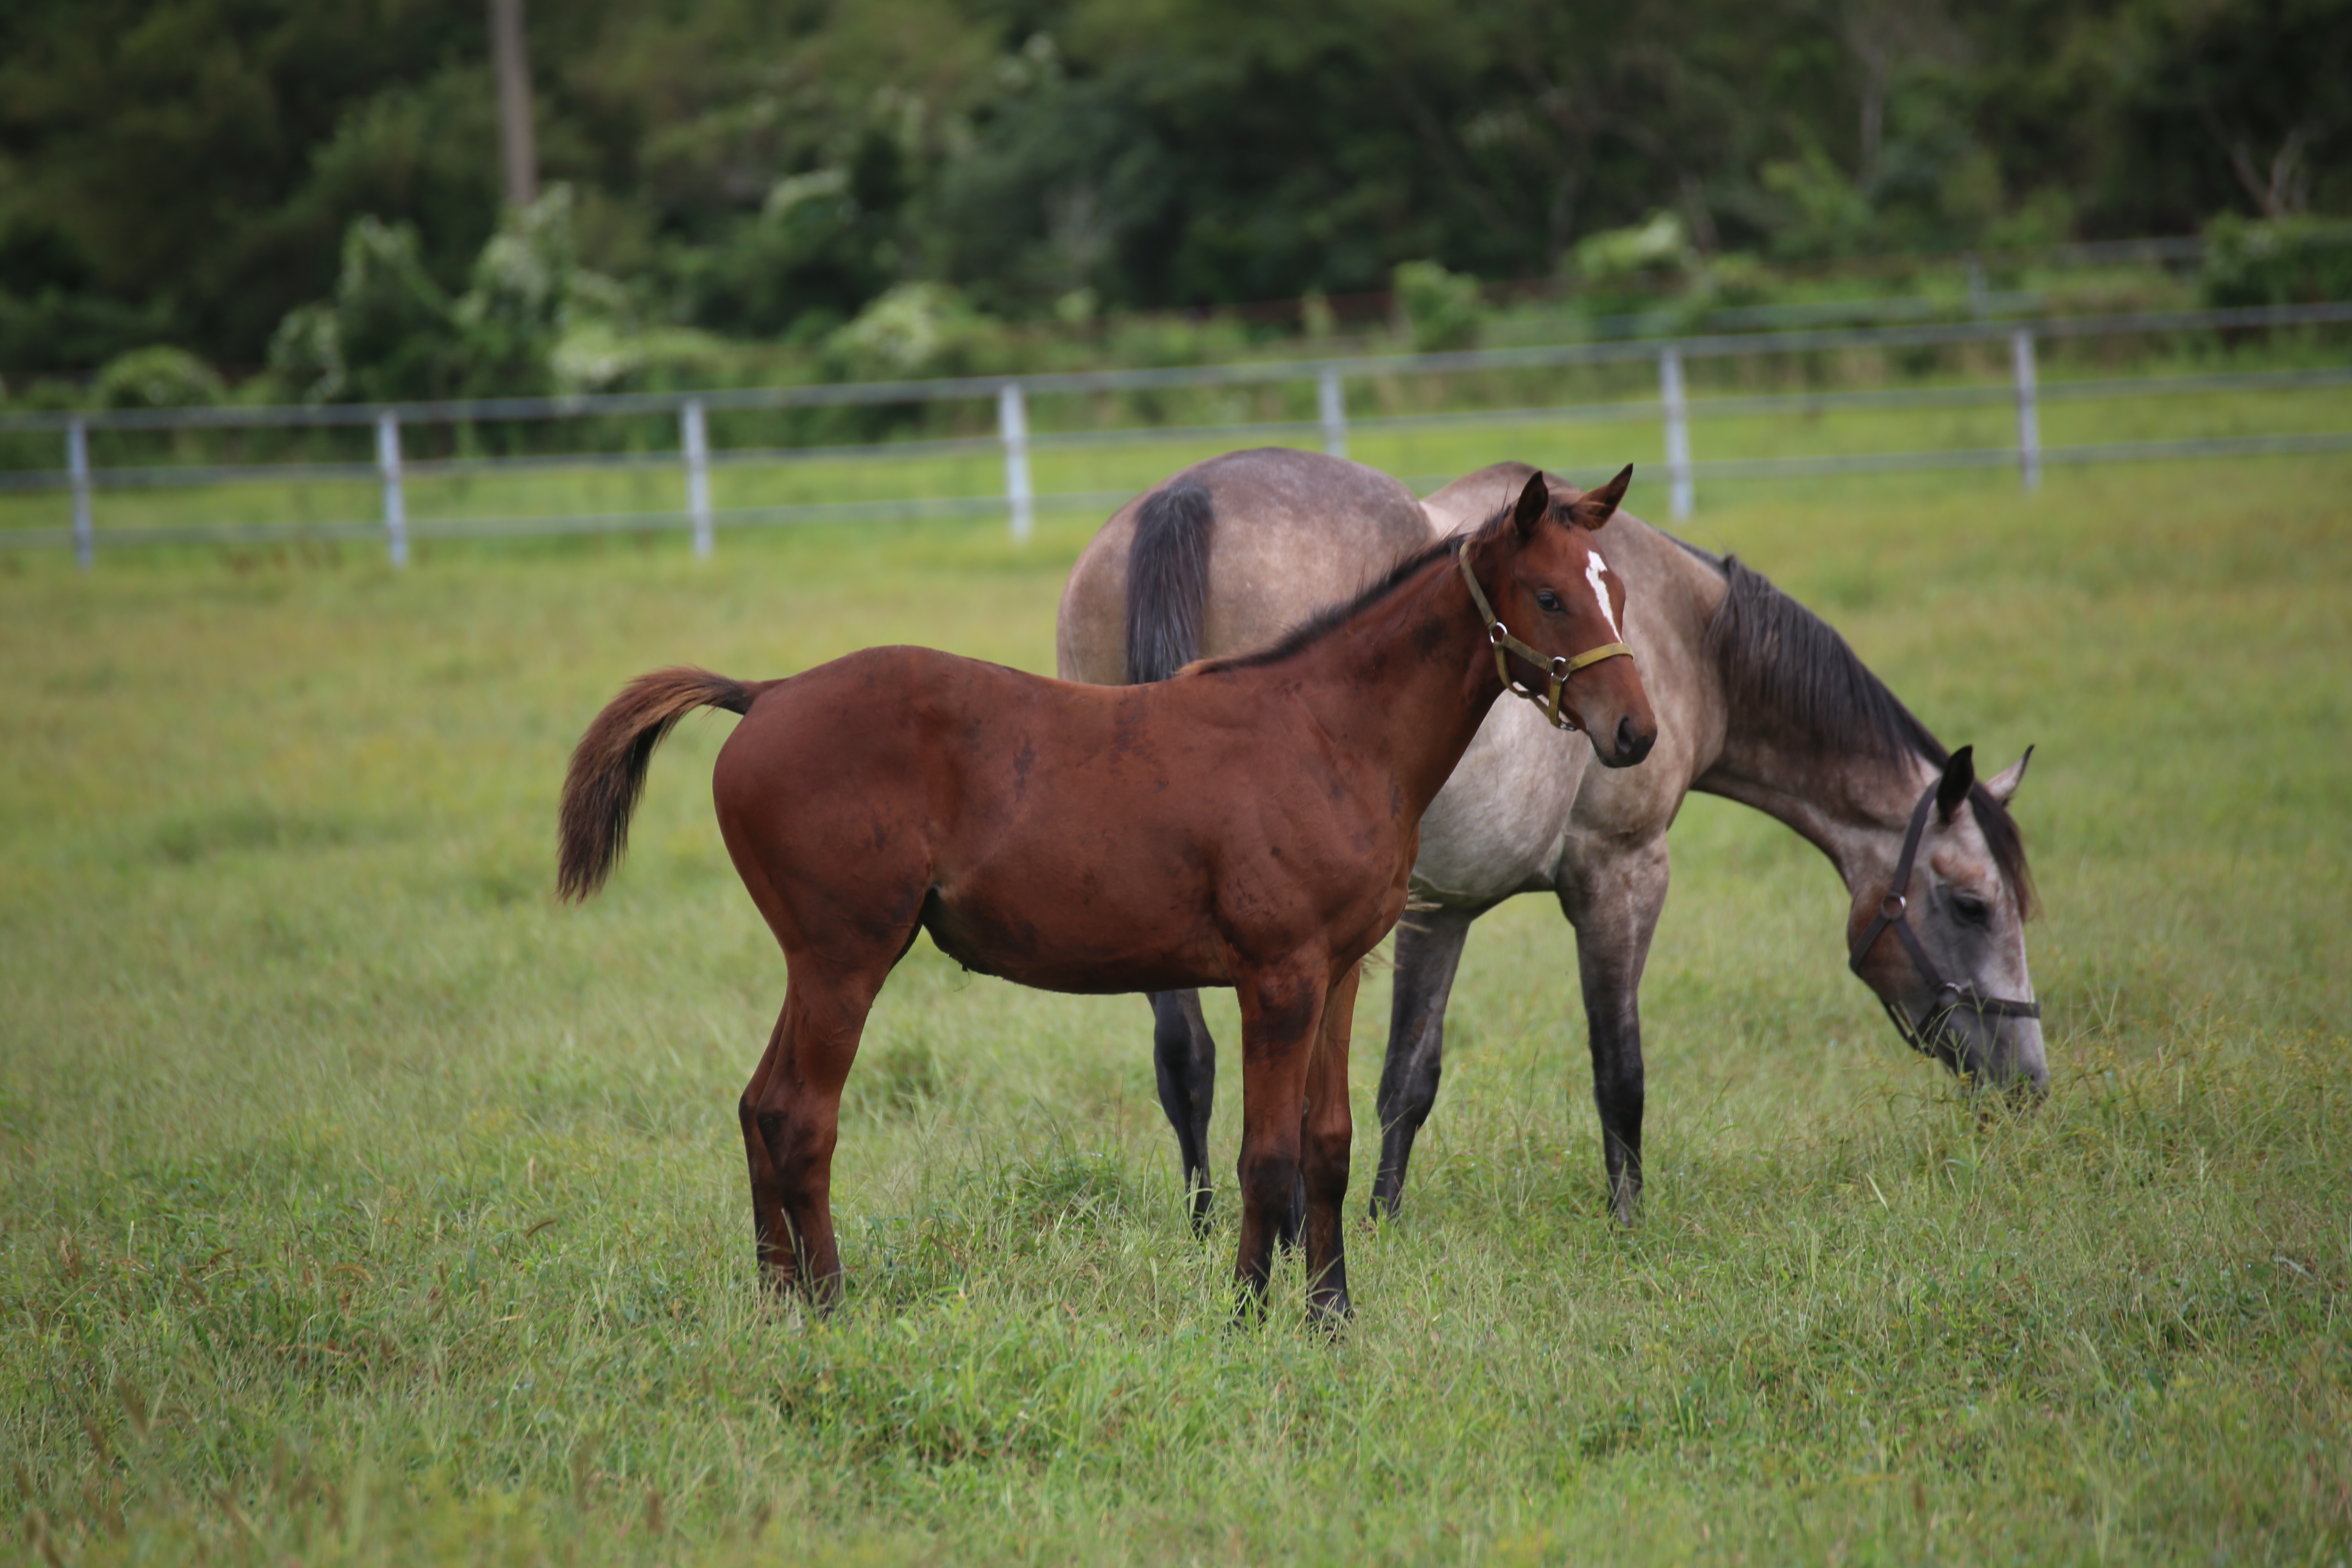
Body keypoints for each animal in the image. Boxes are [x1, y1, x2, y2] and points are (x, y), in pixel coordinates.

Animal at [555, 470, 1656, 1326]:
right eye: (1550, 595)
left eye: (1619, 592)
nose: (1636, 732)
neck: (1326, 731)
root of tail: (766, 693)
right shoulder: (1278, 976)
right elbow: (1267, 1155)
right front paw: (1247, 1312)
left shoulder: (1340, 969)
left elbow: (1328, 1146)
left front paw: (1332, 1314)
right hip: (846, 960)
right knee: (798, 1115)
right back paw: (829, 1303)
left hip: (819, 959)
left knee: (756, 1106)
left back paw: (776, 1300)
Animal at [1068, 446, 2041, 1232]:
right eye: (1972, 905)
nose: (2028, 1082)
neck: (1687, 635)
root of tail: (1186, 500)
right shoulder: (1621, 874)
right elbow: (1620, 1068)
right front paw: (1629, 1223)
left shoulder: (1442, 908)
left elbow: (1406, 1078)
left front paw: (1382, 1220)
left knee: (1185, 1057)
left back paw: (1207, 1226)